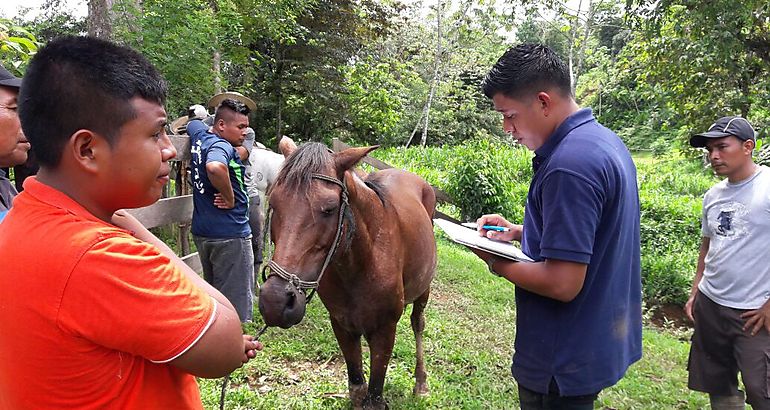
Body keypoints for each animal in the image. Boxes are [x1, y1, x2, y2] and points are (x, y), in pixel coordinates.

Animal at [258, 139, 436, 408]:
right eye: (274, 203)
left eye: (330, 209)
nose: (275, 301)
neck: (362, 264)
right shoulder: (342, 325)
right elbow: (357, 390)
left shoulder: (385, 331)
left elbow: (373, 397)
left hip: (423, 291)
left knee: (418, 323)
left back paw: (421, 381)